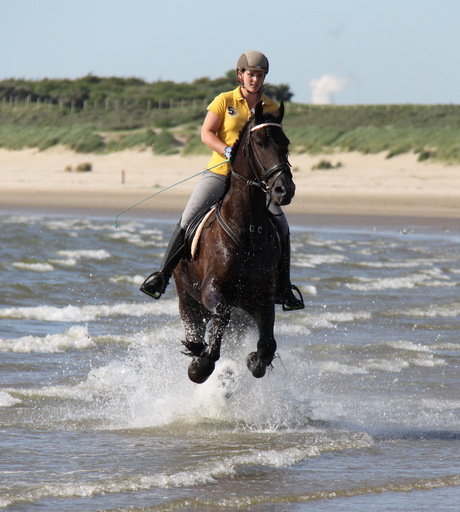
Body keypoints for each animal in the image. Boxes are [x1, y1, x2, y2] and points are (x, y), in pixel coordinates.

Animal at [172, 102, 294, 384]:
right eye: (260, 144)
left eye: (286, 143)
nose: (284, 190)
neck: (248, 231)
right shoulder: (212, 289)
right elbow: (221, 316)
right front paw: (200, 365)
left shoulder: (263, 299)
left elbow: (267, 345)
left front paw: (253, 361)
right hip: (187, 299)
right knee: (197, 324)